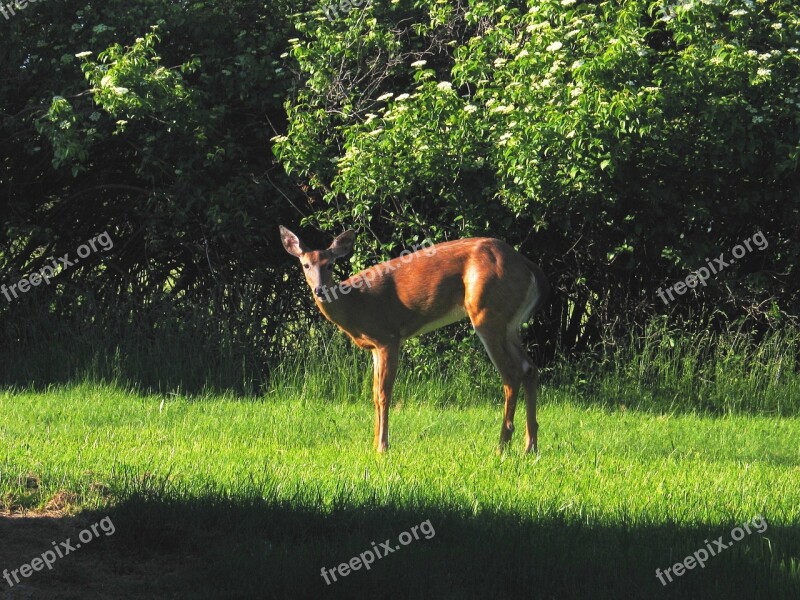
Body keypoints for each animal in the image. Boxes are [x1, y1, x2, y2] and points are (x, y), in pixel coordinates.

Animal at [280, 227, 552, 452]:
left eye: (330, 264)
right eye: (305, 265)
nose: (319, 290)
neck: (356, 304)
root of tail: (529, 266)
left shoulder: (388, 336)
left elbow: (384, 394)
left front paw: (382, 447)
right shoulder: (374, 347)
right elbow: (373, 394)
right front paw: (374, 442)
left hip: (487, 312)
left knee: (511, 374)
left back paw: (502, 446)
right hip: (510, 324)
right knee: (529, 368)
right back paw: (530, 446)